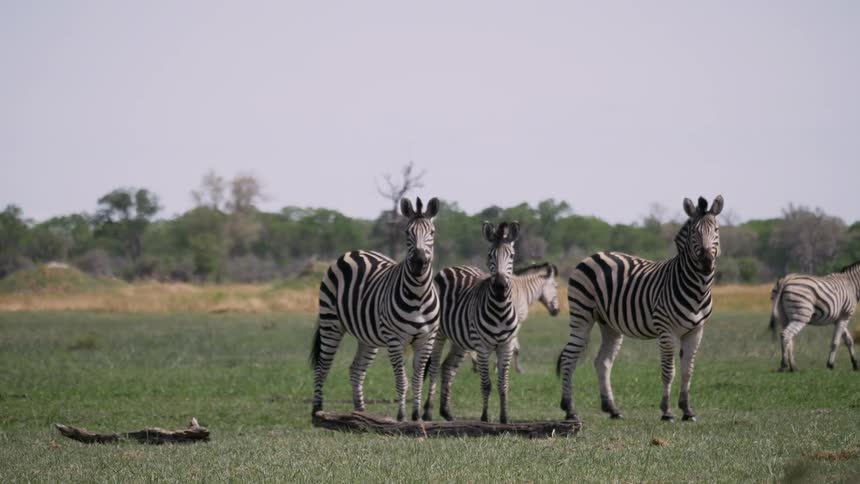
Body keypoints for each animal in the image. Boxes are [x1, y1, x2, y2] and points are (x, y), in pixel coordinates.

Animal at [309, 196, 440, 422]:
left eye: (431, 232)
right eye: (407, 233)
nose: (419, 263)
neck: (418, 295)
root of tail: (353, 252)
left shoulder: (427, 339)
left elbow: (417, 379)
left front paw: (417, 417)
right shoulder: (395, 339)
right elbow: (402, 380)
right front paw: (401, 417)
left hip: (368, 336)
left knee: (356, 370)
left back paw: (360, 413)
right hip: (330, 322)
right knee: (322, 367)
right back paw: (318, 410)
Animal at [421, 221, 527, 424]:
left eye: (511, 255)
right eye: (490, 255)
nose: (500, 286)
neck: (500, 309)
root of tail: (452, 267)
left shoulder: (506, 346)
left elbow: (503, 384)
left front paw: (504, 418)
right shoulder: (483, 347)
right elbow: (486, 384)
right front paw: (485, 417)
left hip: (460, 340)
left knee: (448, 368)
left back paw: (446, 412)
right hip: (439, 334)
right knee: (435, 368)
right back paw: (428, 412)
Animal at [558, 195, 724, 422]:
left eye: (715, 229)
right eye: (693, 233)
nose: (707, 262)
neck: (697, 289)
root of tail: (594, 255)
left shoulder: (696, 330)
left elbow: (687, 371)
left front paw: (687, 410)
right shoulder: (666, 330)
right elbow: (669, 371)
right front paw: (667, 411)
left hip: (609, 324)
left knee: (603, 362)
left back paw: (612, 409)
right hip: (581, 314)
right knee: (569, 358)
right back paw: (570, 409)